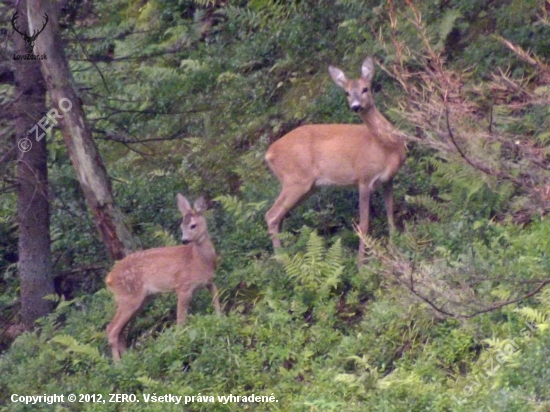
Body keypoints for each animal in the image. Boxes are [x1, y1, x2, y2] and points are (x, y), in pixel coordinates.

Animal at [106, 193, 222, 360]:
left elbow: (217, 300)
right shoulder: (183, 286)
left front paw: (220, 320)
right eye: (181, 226)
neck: (198, 260)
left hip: (140, 299)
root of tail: (108, 279)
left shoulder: (209, 281)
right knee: (112, 329)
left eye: (193, 225)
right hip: (128, 297)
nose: (184, 240)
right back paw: (119, 363)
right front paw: (181, 339)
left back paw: (129, 358)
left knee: (121, 331)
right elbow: (181, 319)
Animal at [266, 55, 408, 264]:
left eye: (365, 89)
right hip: (295, 179)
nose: (355, 106)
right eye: (347, 93)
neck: (385, 147)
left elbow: (391, 213)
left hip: (308, 186)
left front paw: (395, 247)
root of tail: (269, 154)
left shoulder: (388, 179)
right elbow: (363, 224)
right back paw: (281, 261)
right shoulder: (364, 179)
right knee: (271, 215)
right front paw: (361, 264)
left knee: (279, 217)